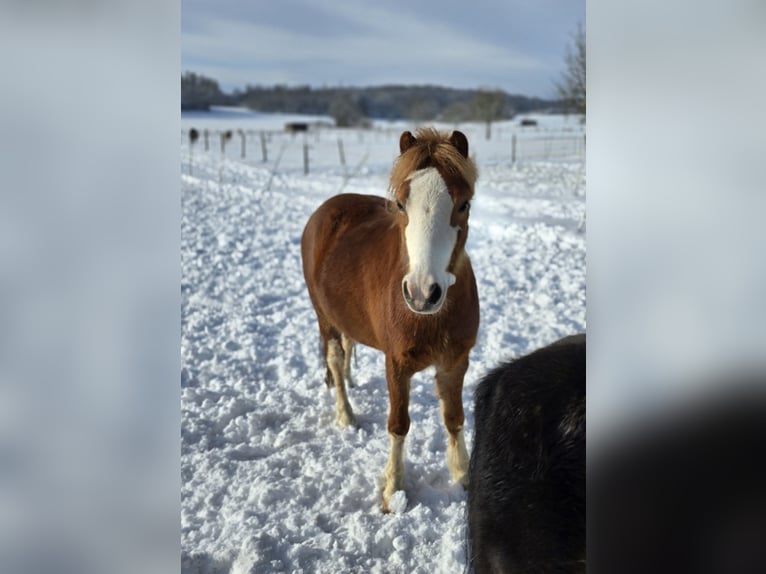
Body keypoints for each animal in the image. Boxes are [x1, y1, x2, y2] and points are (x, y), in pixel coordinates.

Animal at [301, 128, 479, 512]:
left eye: (463, 205)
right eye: (400, 204)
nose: (422, 293)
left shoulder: (455, 362)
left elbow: (454, 418)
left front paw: (463, 476)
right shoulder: (396, 364)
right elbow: (398, 424)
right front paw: (393, 490)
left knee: (348, 346)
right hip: (324, 317)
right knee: (334, 357)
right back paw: (346, 414)